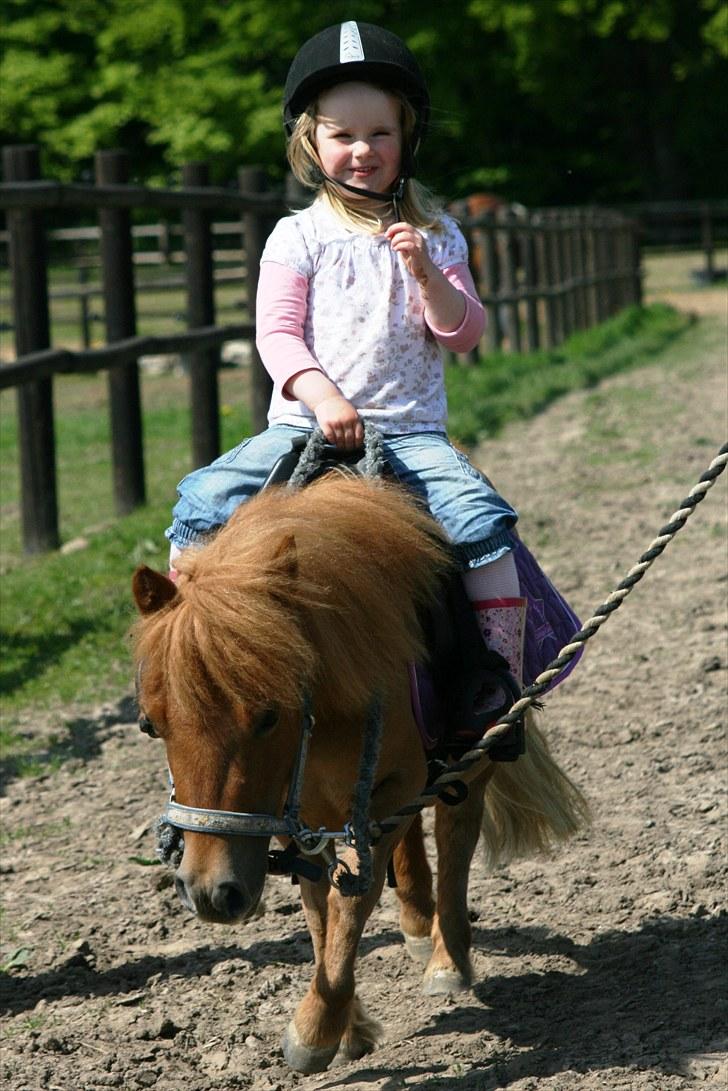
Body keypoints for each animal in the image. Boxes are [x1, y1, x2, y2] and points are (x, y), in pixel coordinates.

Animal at [133, 473, 589, 1069]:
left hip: (478, 753)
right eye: (152, 723)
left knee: (456, 832)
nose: (211, 892)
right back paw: (417, 920)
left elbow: (349, 900)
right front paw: (346, 1026)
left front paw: (315, 1030)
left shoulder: (385, 792)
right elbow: (317, 908)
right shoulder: (300, 810)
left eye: (269, 715)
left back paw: (447, 957)